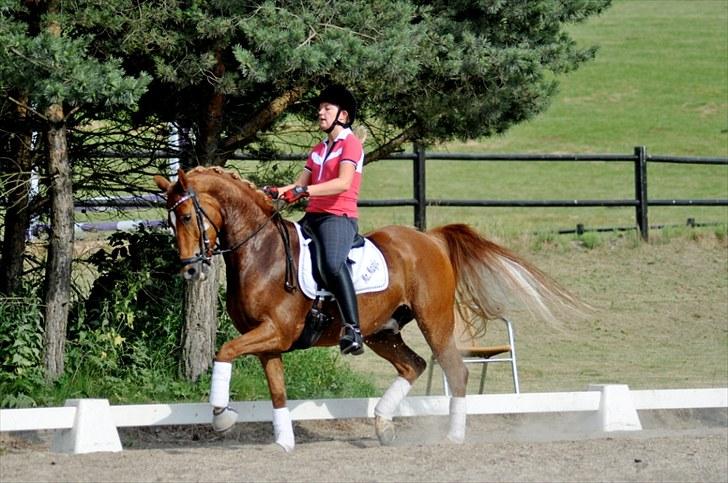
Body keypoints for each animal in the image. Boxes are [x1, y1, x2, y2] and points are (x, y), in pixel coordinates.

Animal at [153, 166, 581, 452]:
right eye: (169, 222)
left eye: (187, 216)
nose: (190, 270)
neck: (263, 253)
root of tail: (430, 239)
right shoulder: (268, 341)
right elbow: (276, 390)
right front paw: (283, 441)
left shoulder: (275, 331)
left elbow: (223, 352)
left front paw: (223, 417)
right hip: (382, 331)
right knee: (413, 365)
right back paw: (383, 426)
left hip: (434, 321)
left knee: (454, 371)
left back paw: (453, 436)